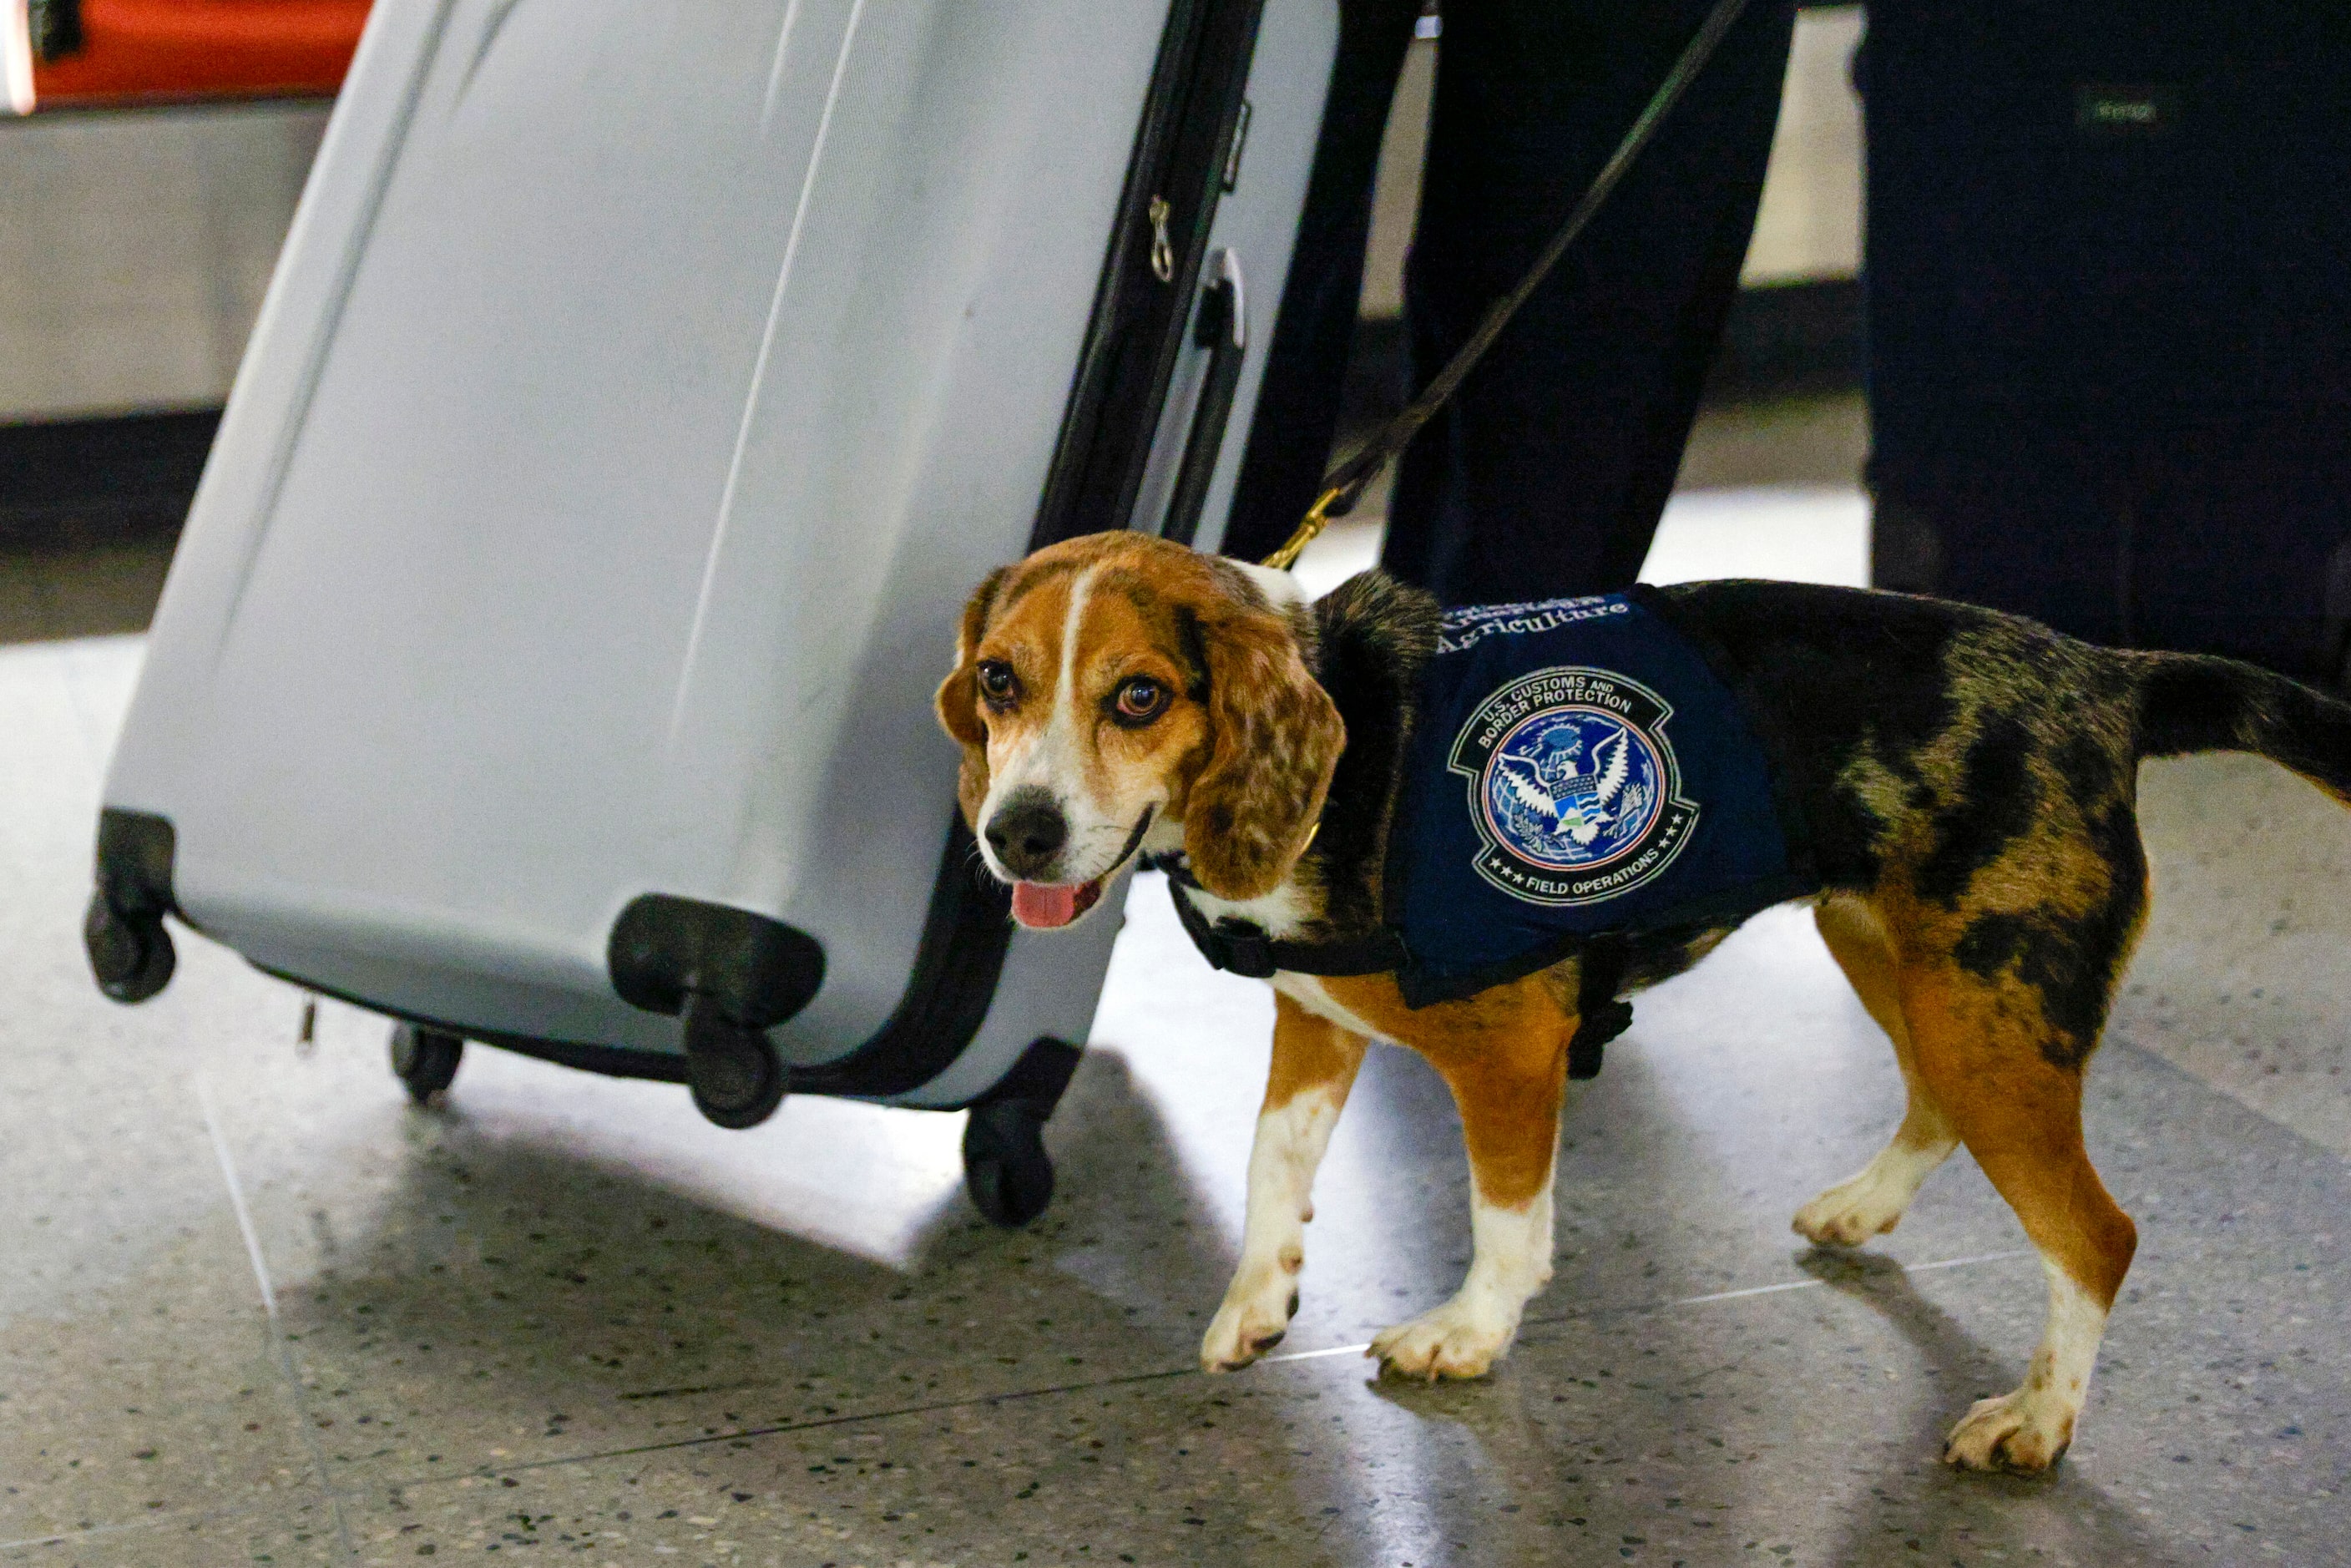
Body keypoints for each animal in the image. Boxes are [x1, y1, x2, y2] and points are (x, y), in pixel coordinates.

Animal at [935, 531, 2351, 1476]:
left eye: (1139, 695)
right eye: (1000, 681)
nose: (1017, 834)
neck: (1349, 734)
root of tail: (2110, 673)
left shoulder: (1512, 1051)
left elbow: (1508, 1222)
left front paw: (1468, 1334)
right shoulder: (1318, 1017)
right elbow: (1272, 1163)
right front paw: (1256, 1298)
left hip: (1989, 998)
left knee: (2095, 1234)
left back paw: (2041, 1416)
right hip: (1902, 961)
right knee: (1940, 1106)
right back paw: (1865, 1208)